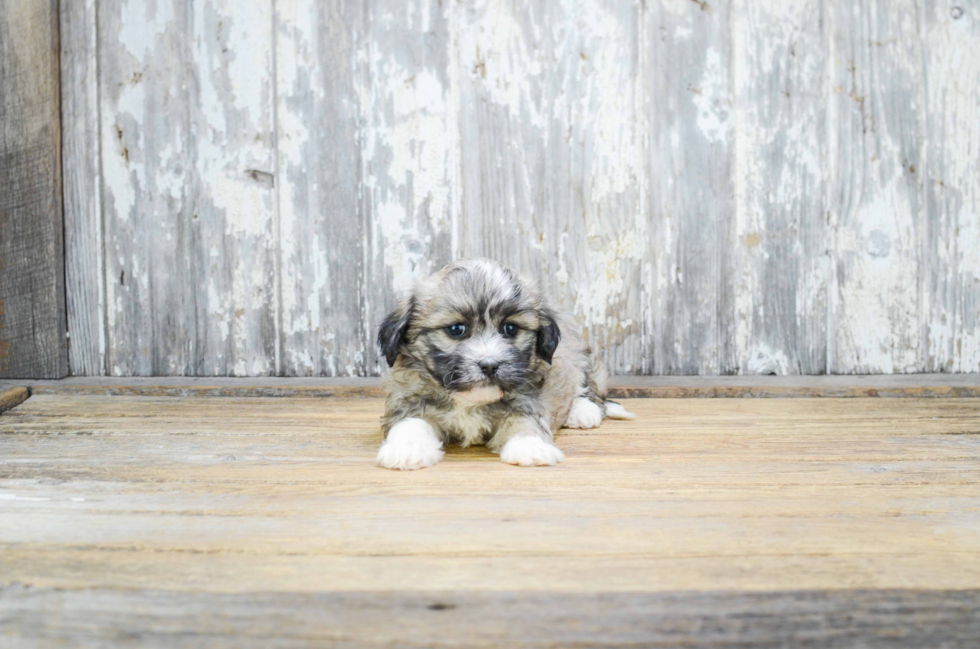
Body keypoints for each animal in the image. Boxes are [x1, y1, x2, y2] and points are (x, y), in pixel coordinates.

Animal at [376, 258, 636, 470]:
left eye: (510, 328)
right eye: (456, 329)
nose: (490, 365)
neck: (469, 400)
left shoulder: (526, 399)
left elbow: (525, 422)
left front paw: (530, 446)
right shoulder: (410, 398)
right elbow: (410, 423)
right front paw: (407, 449)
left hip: (580, 356)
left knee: (589, 387)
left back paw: (582, 411)